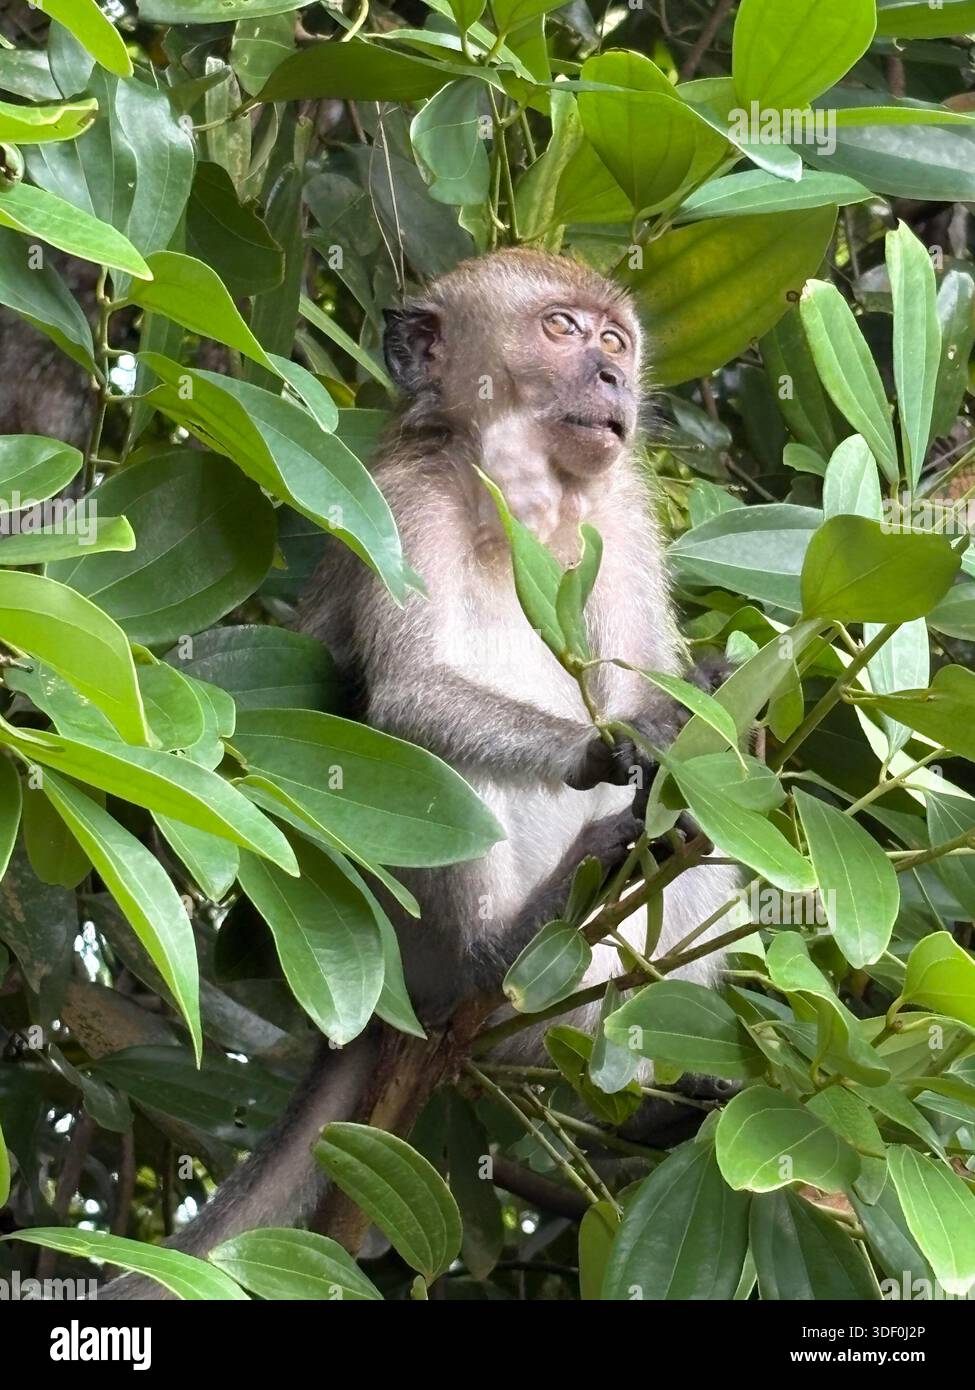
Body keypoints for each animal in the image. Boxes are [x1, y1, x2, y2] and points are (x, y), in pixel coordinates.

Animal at [102, 249, 738, 1297]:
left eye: (615, 338)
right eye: (561, 329)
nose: (613, 376)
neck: (533, 497)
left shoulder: (623, 518)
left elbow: (673, 705)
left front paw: (695, 709)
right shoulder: (404, 502)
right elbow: (406, 703)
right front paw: (621, 740)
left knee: (696, 839)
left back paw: (648, 1092)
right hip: (415, 947)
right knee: (430, 772)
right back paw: (505, 943)